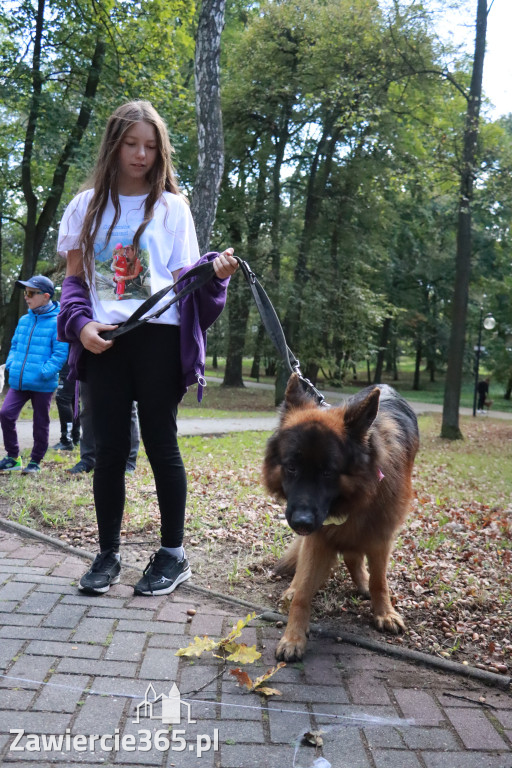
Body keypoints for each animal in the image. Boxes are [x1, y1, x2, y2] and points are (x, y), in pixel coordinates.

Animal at [264, 372, 420, 660]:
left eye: (328, 472)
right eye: (291, 467)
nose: (301, 522)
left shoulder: (381, 533)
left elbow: (380, 581)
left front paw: (384, 612)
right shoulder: (319, 537)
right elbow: (304, 592)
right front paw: (293, 637)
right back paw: (293, 589)